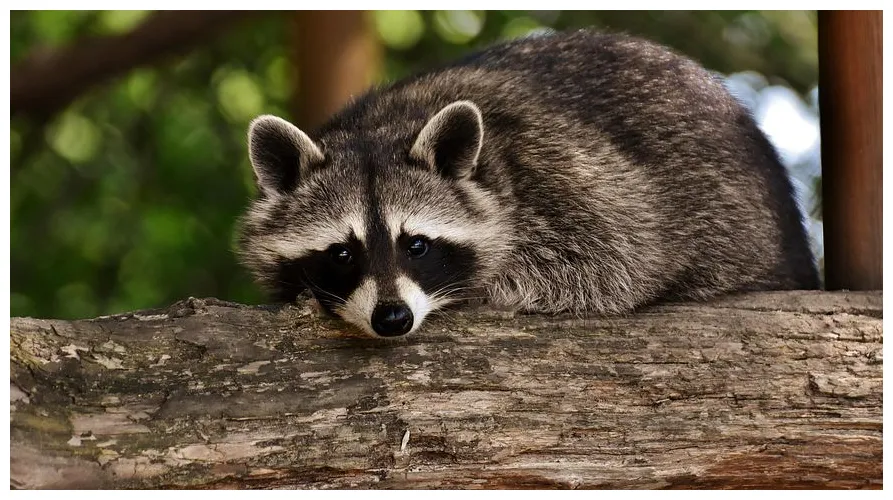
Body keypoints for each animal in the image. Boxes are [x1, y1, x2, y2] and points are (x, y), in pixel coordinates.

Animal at [237, 30, 819, 338]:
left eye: (416, 245)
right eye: (341, 253)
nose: (393, 319)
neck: (383, 126)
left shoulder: (570, 177)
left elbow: (617, 261)